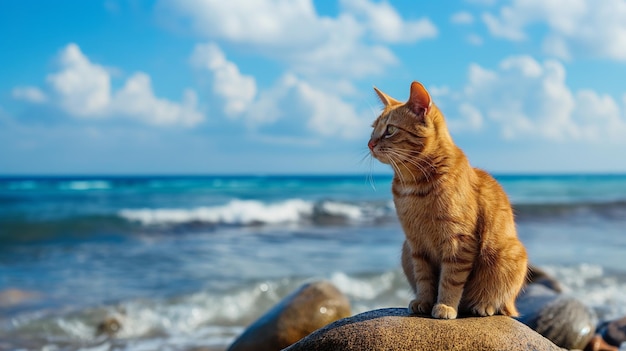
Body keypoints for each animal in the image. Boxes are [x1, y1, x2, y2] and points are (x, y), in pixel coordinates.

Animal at [366, 81, 528, 320]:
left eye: (390, 130)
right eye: (373, 129)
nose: (370, 144)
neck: (413, 186)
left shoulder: (458, 242)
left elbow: (450, 279)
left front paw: (445, 306)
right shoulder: (416, 244)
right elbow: (424, 278)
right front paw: (424, 301)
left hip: (508, 255)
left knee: (502, 304)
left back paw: (484, 305)